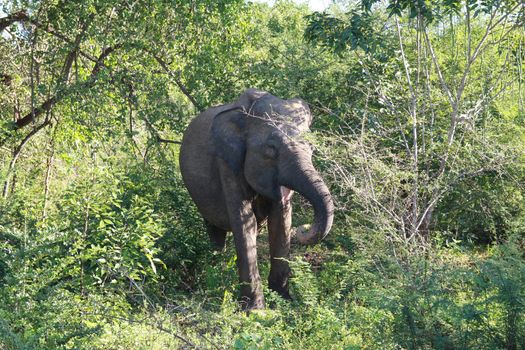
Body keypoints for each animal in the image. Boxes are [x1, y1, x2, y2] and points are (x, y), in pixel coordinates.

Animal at [180, 89, 334, 310]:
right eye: (271, 148)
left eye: (312, 147)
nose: (303, 229)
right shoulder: (227, 163)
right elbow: (245, 221)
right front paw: (255, 311)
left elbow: (280, 221)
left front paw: (283, 300)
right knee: (214, 228)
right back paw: (216, 266)